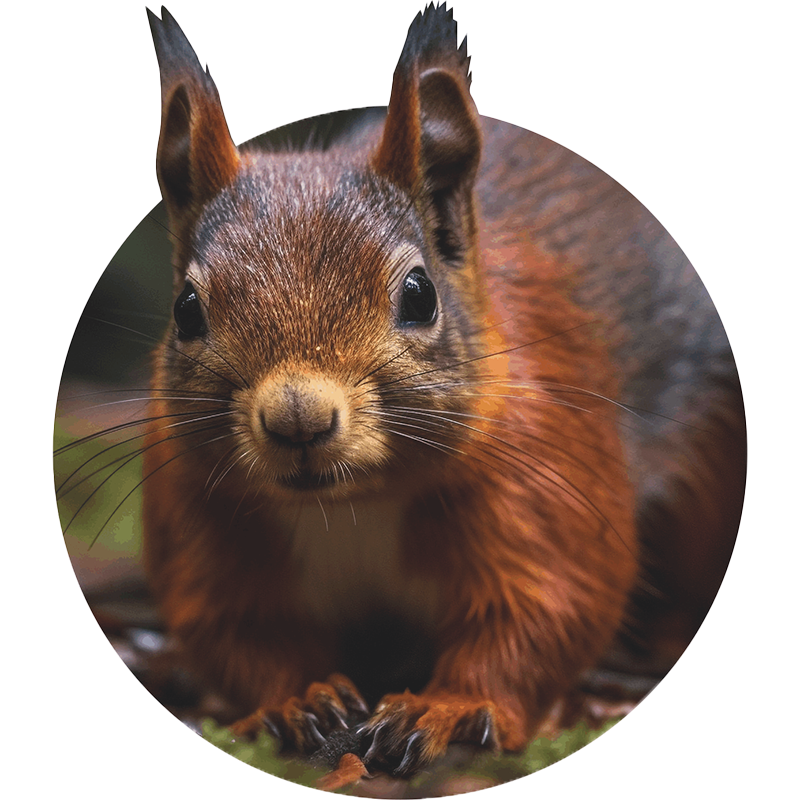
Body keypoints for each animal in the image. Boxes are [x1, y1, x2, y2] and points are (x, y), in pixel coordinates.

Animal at [108, 1, 747, 780]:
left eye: (419, 295)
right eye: (187, 311)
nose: (298, 420)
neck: (351, 506)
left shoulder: (548, 477)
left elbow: (544, 613)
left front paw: (448, 708)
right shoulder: (201, 513)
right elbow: (237, 630)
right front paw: (298, 700)